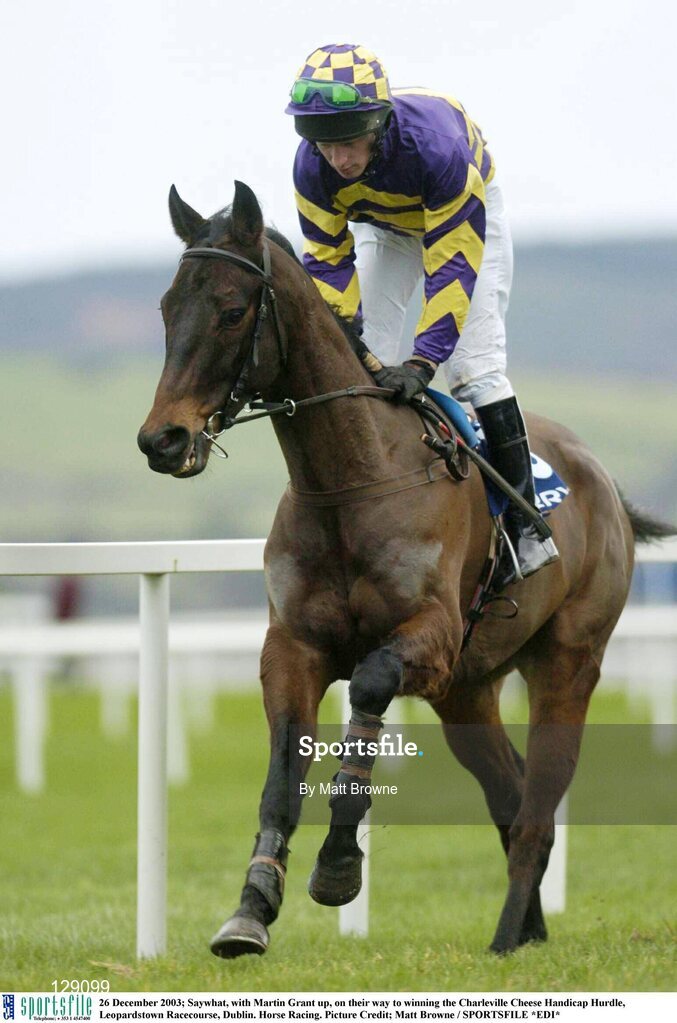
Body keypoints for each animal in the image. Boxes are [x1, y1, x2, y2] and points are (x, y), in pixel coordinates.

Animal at [138, 180, 673, 958]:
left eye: (233, 310)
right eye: (167, 306)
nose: (163, 438)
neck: (351, 480)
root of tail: (601, 478)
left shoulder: (431, 637)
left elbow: (367, 687)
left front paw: (337, 865)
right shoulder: (292, 645)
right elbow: (282, 776)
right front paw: (251, 907)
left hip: (568, 662)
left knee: (537, 808)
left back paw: (506, 935)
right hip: (468, 691)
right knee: (510, 793)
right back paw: (529, 930)